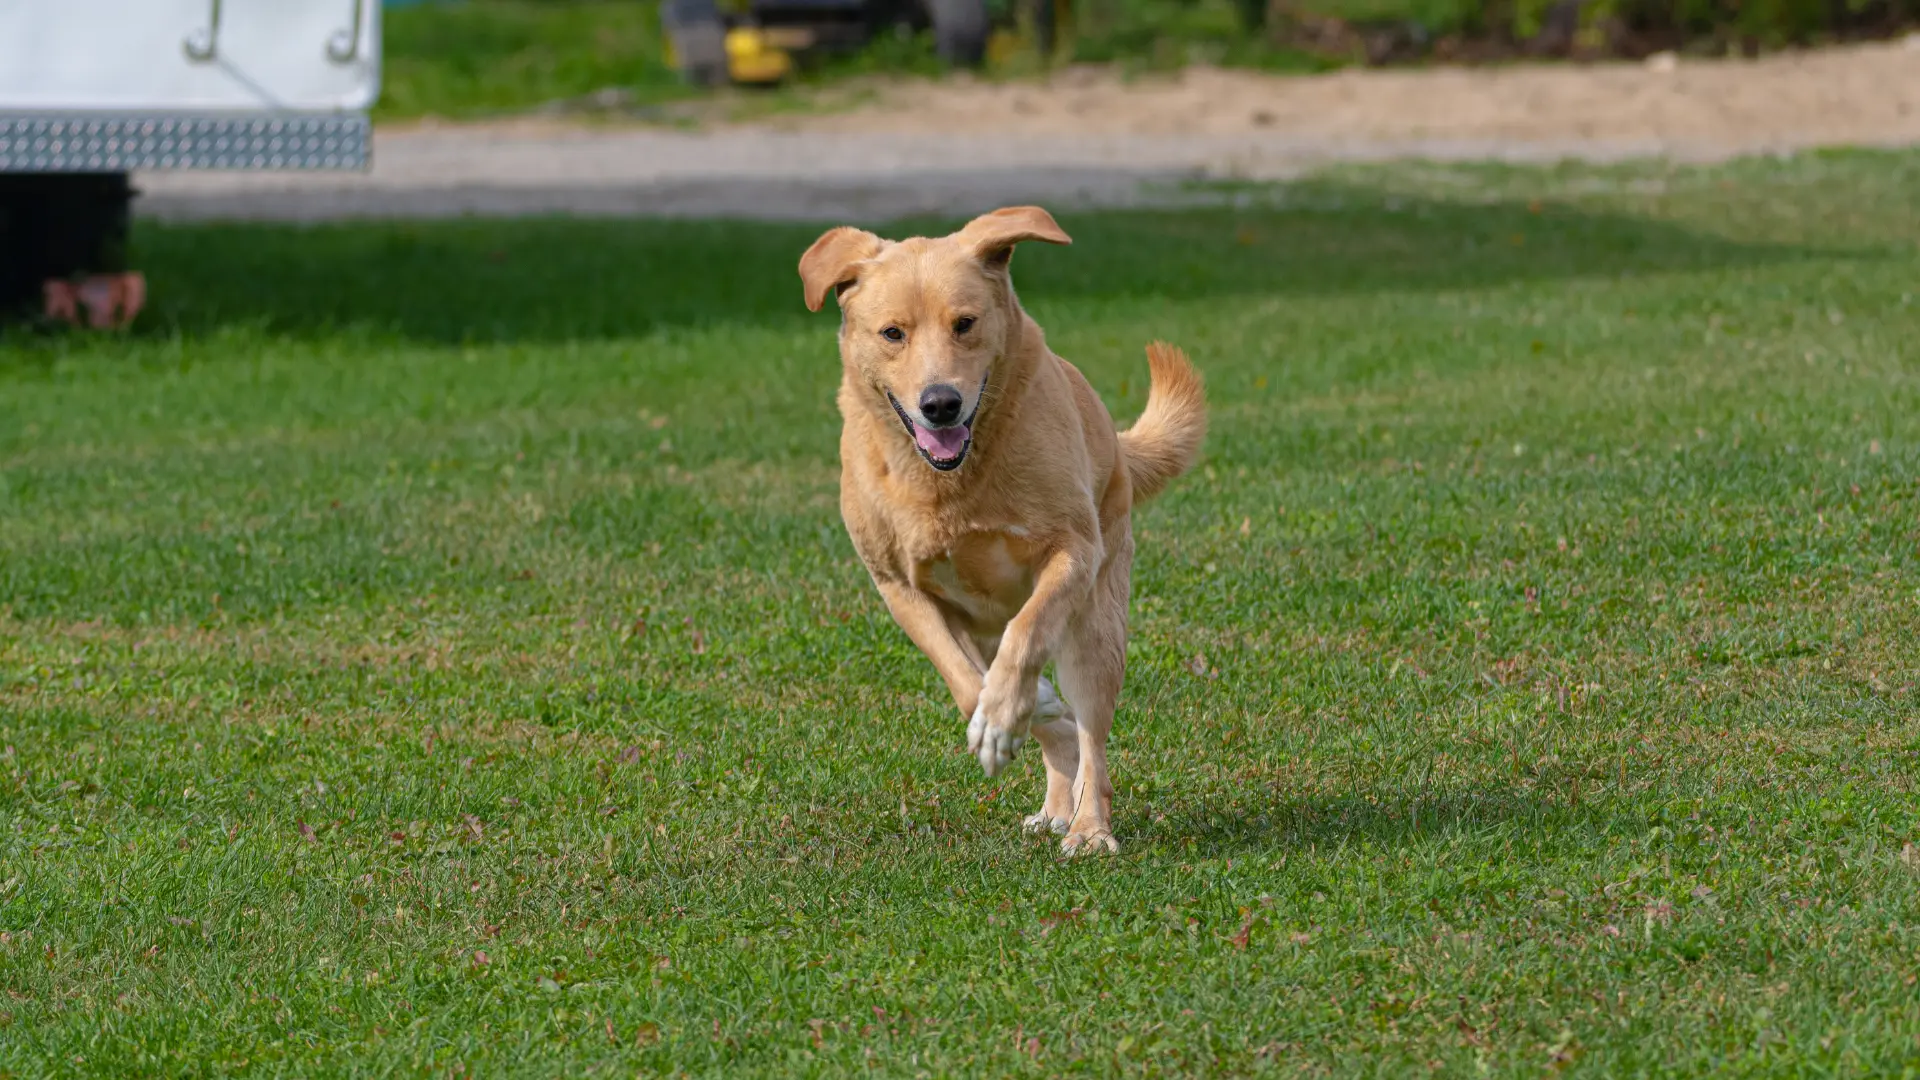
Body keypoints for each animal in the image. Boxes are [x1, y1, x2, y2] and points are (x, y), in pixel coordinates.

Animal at [802, 205, 1205, 853]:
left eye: (965, 323)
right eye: (893, 333)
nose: (940, 402)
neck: (951, 482)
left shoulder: (1073, 551)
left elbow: (1029, 631)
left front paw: (1008, 712)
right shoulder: (898, 588)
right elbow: (965, 681)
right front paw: (1012, 714)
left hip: (1097, 626)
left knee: (1090, 737)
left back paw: (1089, 828)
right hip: (983, 628)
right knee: (1053, 726)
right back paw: (1054, 792)